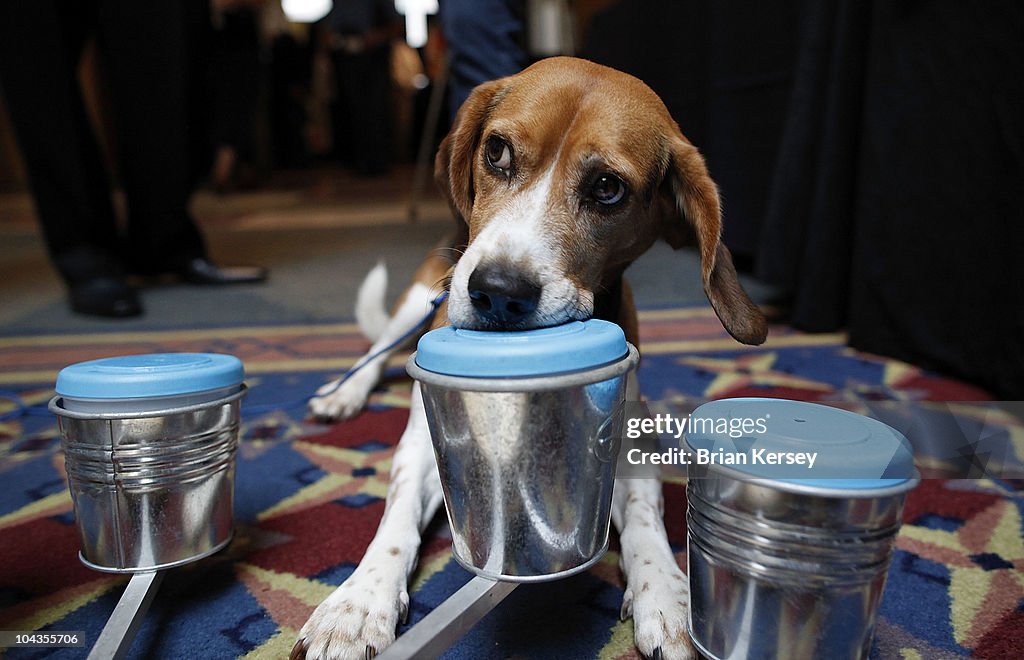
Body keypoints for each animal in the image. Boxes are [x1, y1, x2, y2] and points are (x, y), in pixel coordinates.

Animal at [296, 56, 770, 658]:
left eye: (608, 188)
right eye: (497, 152)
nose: (497, 291)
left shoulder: (628, 447)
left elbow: (645, 519)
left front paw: (670, 595)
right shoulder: (425, 446)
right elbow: (395, 516)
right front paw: (357, 606)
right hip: (420, 296)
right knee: (376, 352)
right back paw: (343, 393)